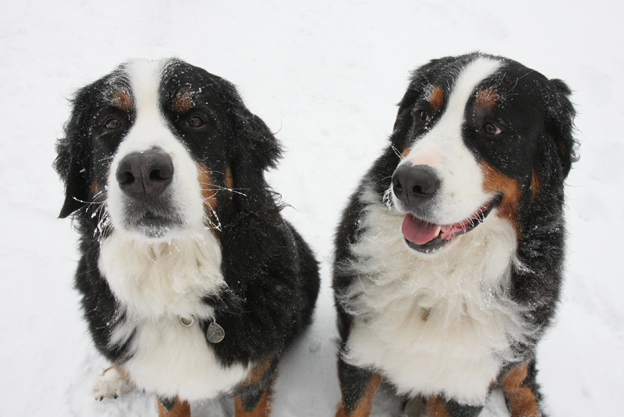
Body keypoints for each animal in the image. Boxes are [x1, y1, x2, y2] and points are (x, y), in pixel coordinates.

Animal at [53, 58, 320, 416]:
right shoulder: (167, 383)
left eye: (195, 120)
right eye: (110, 123)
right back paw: (113, 378)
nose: (142, 172)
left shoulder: (254, 377)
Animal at [334, 52, 576, 416]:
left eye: (492, 128)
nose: (410, 182)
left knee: (523, 384)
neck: (441, 279)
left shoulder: (465, 385)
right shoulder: (361, 350)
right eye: (423, 115)